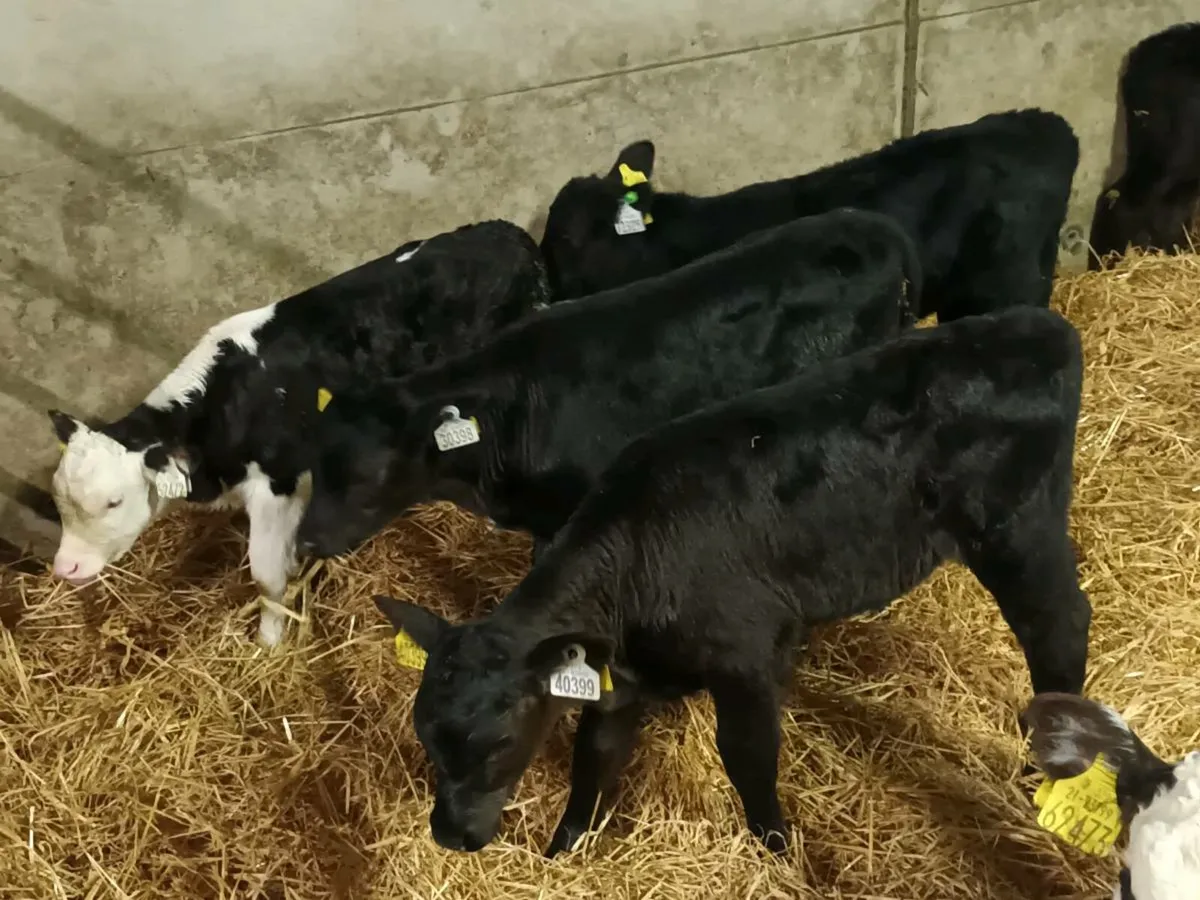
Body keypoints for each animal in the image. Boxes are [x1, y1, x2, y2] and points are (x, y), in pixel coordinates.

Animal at [47, 219, 551, 647]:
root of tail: (508, 233)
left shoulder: (278, 486)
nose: (65, 568)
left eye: (114, 502)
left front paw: (270, 643)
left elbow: (267, 575)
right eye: (58, 500)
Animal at [371, 305, 1091, 858]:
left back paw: (1045, 759)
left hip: (1014, 529)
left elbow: (747, 756)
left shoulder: (745, 658)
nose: (450, 835)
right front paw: (565, 848)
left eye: (495, 744)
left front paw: (778, 848)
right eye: (425, 735)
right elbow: (594, 759)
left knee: (1058, 623)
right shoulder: (619, 679)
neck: (632, 570)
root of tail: (1040, 325)